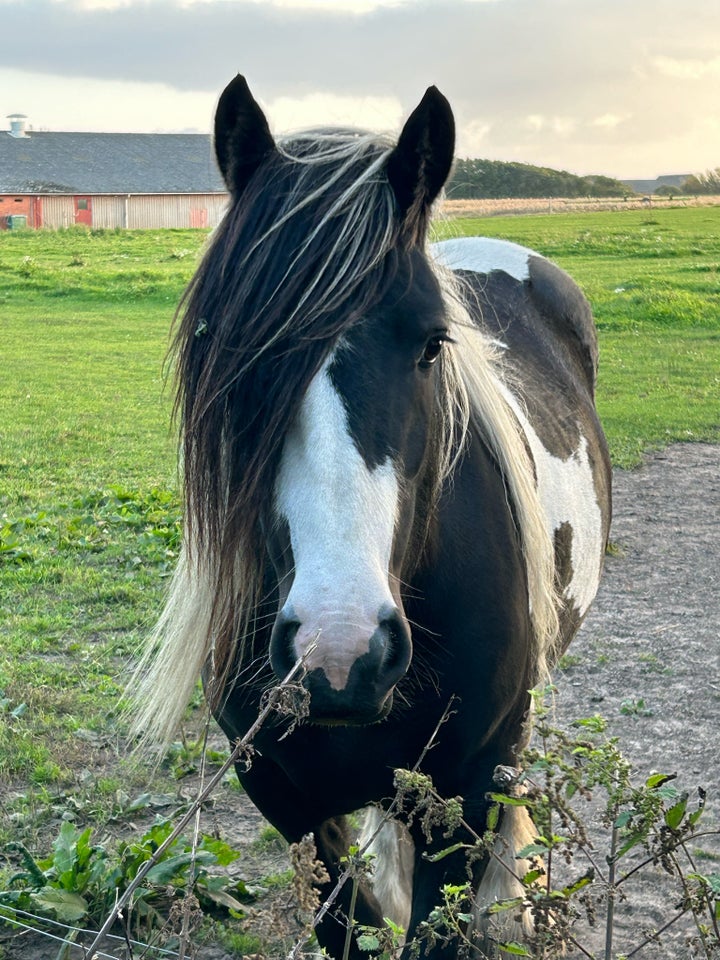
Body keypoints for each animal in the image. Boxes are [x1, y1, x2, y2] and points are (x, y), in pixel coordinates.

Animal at [132, 77, 612, 960]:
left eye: (432, 344)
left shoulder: (462, 802)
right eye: (224, 348)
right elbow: (345, 923)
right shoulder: (286, 799)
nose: (339, 649)